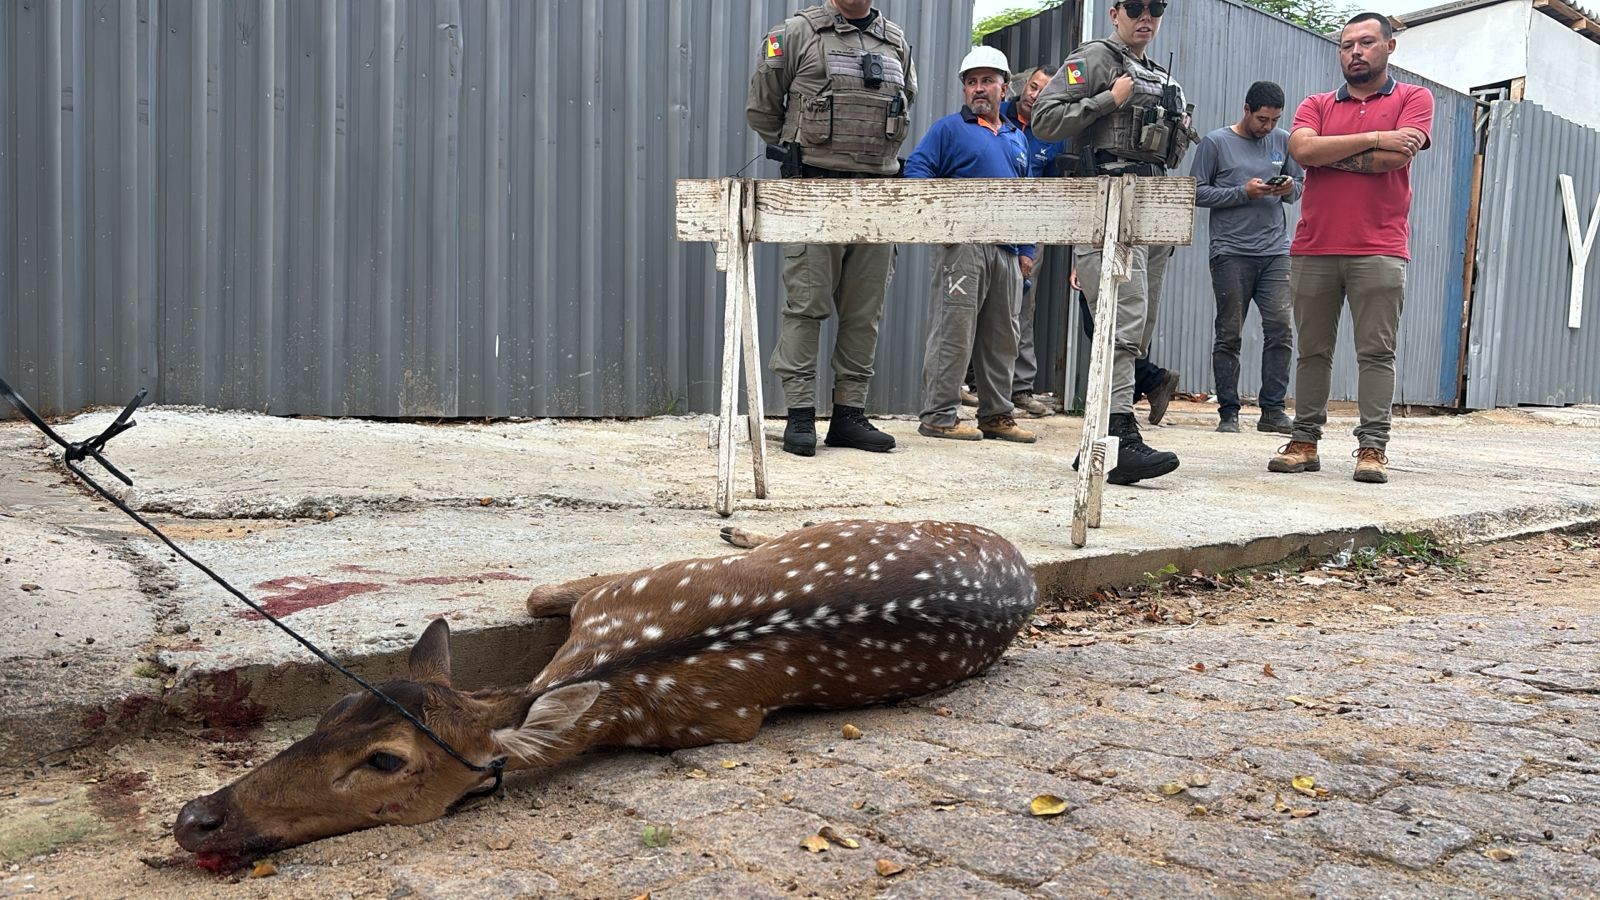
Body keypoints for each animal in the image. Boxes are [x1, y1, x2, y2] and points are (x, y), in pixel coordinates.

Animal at [173, 519, 1038, 869]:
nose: (195, 818)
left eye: (386, 762)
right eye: (332, 709)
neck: (620, 671)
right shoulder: (615, 590)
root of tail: (1026, 573)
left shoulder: (723, 717)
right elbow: (535, 593)